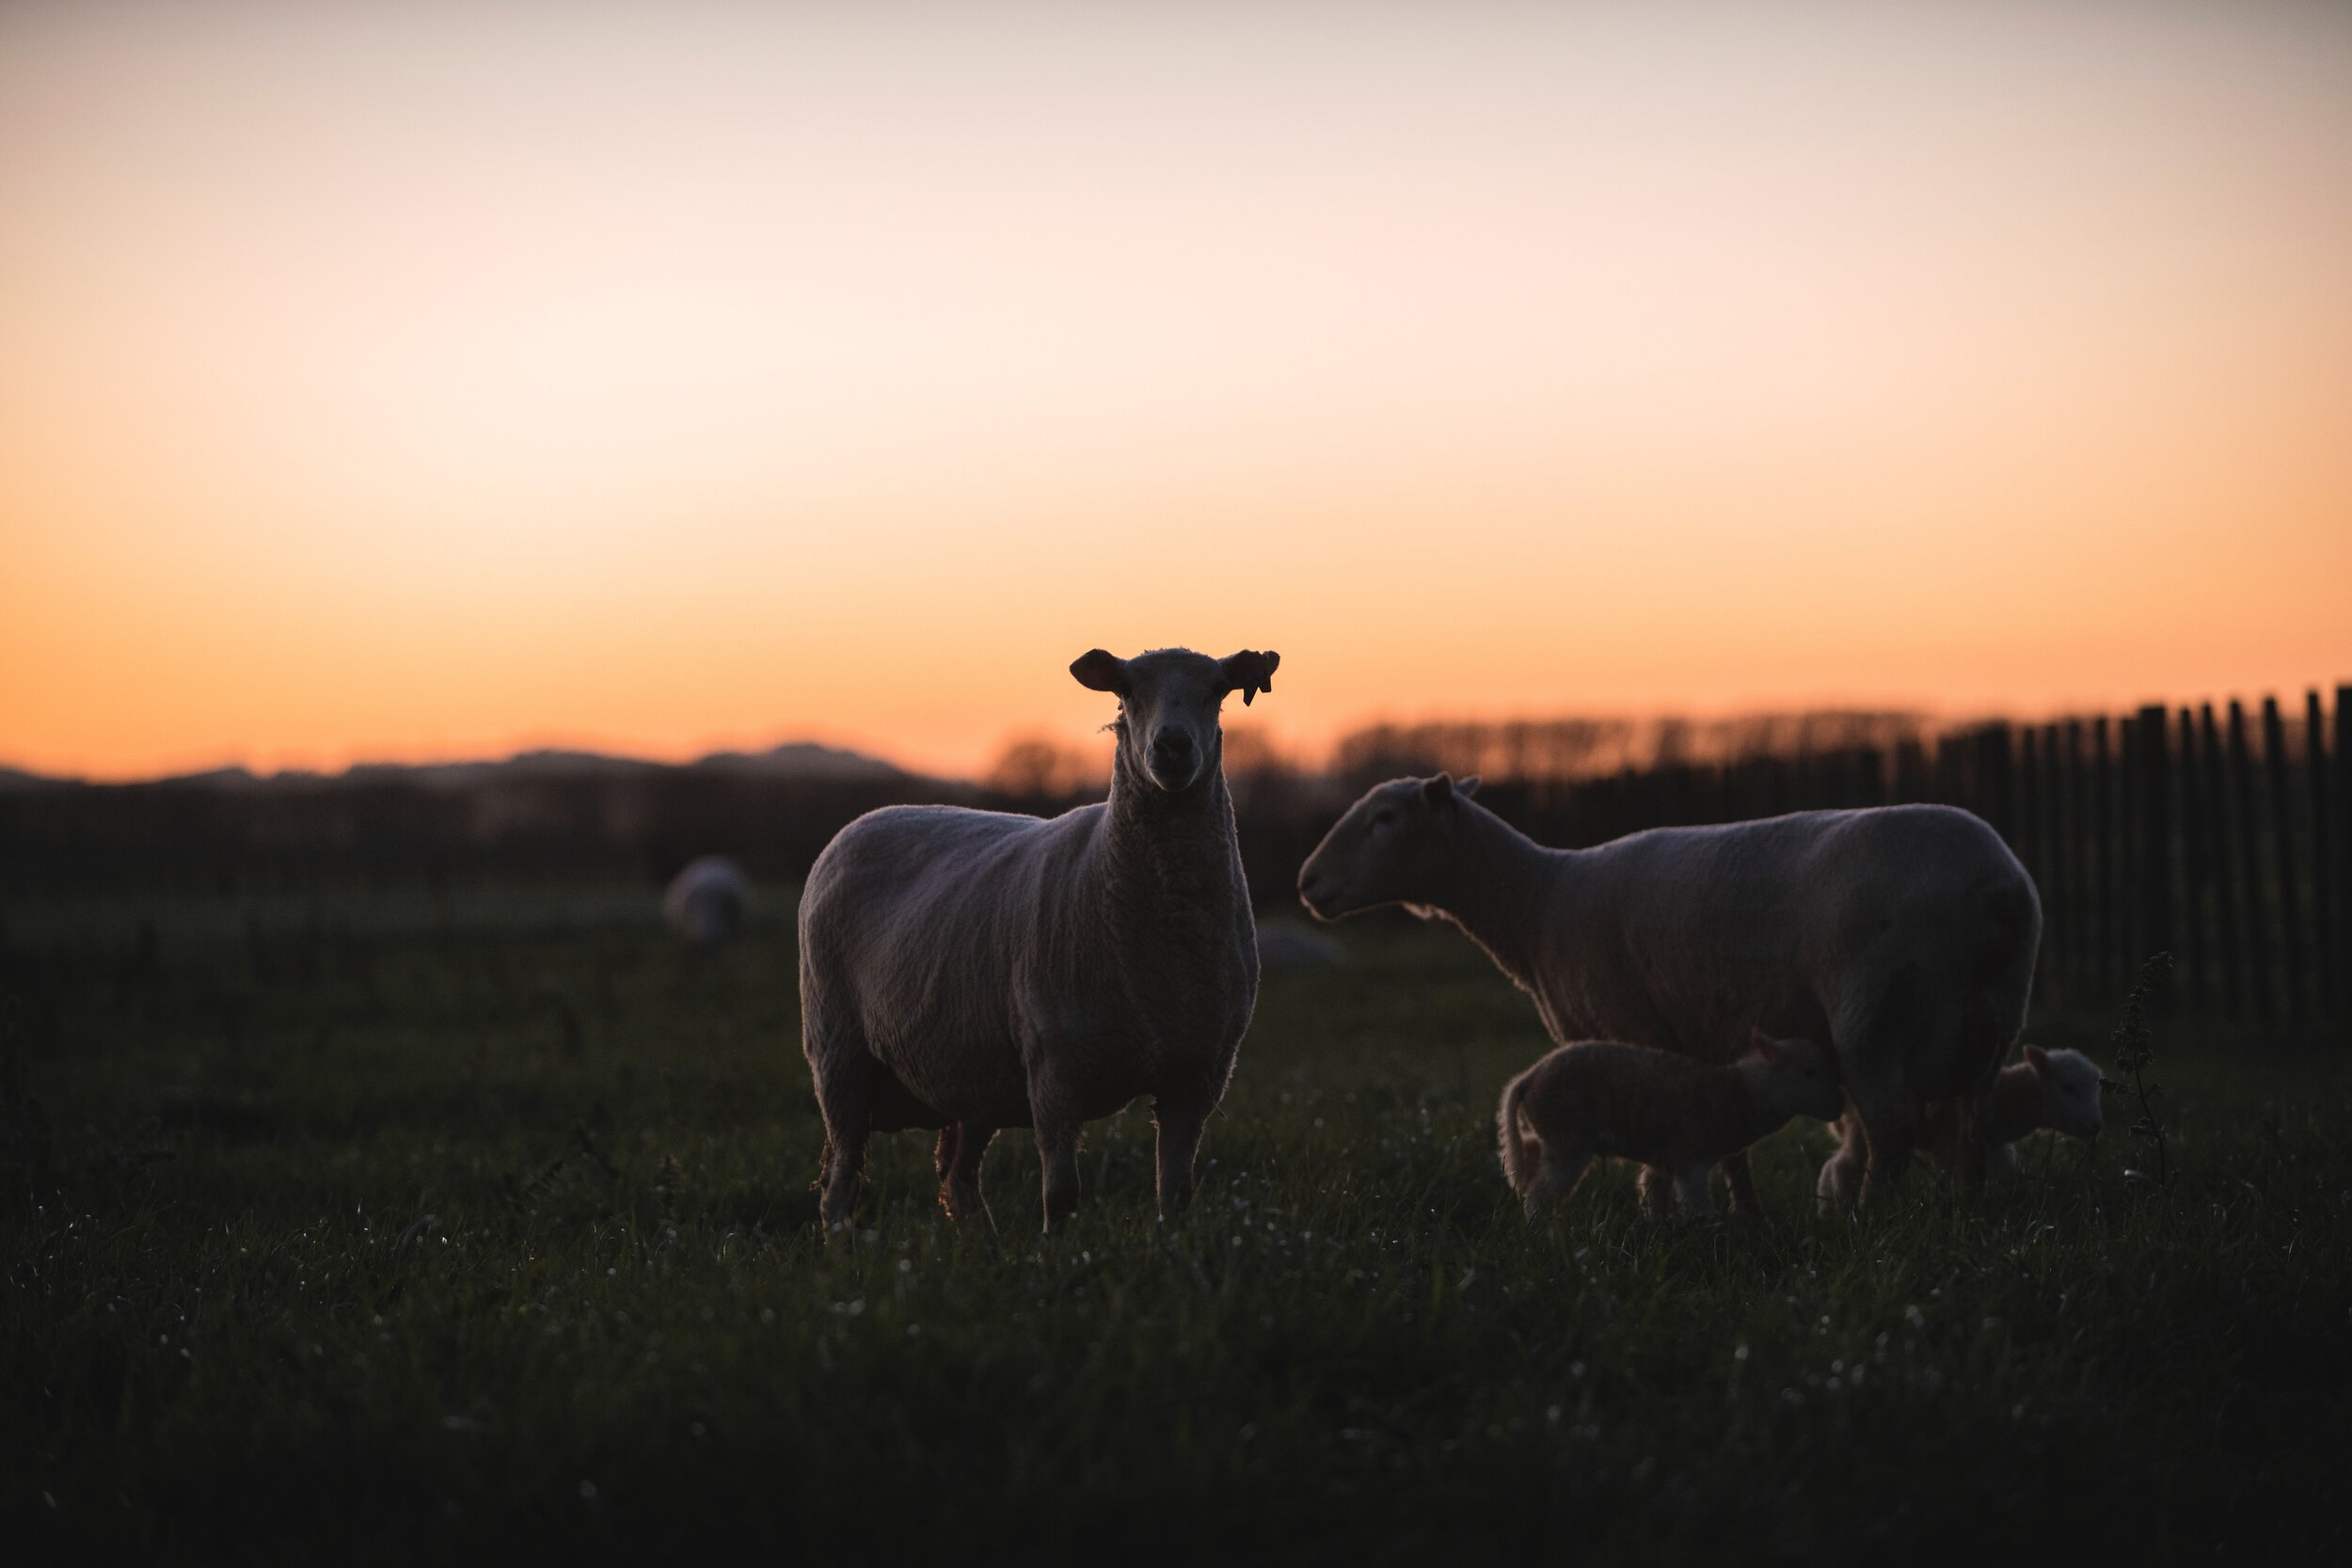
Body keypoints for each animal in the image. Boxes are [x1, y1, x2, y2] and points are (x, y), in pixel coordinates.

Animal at [795, 643, 1279, 1231]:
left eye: (1217, 690)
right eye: (1127, 691)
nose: (1172, 746)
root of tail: (862, 822)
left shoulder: (1198, 1073)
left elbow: (1176, 1193)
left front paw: (1171, 1242)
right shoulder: (1055, 1069)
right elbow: (1062, 1193)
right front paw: (1058, 1249)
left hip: (972, 1071)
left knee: (958, 1178)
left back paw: (982, 1242)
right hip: (839, 1053)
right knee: (841, 1181)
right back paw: (841, 1241)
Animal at [1496, 1029, 1844, 1222]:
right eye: (1810, 1072)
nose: (1839, 1107)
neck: (1740, 1093)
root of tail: (1529, 1077)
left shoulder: (1664, 1158)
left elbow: (1652, 1189)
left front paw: (1656, 1225)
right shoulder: (1691, 1157)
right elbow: (1697, 1201)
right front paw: (1713, 1228)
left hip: (1552, 1132)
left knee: (1529, 1154)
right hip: (1568, 1137)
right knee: (1540, 1193)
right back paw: (1541, 1229)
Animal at [1806, 1048, 2107, 1212]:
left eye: (2098, 1086)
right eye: (2068, 1087)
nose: (2096, 1126)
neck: (2006, 1097)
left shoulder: (1992, 1146)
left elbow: (2005, 1174)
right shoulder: (1950, 1143)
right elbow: (1951, 1179)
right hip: (1864, 1126)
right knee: (1840, 1166)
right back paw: (1834, 1210)